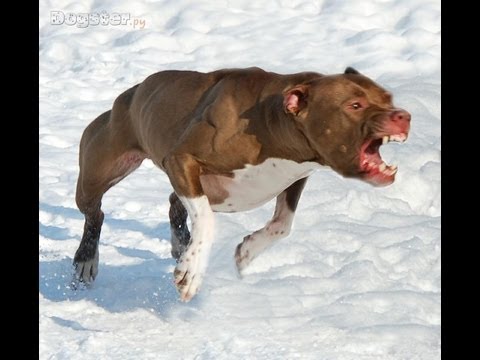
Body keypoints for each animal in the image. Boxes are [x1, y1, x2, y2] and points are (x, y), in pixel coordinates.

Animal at [73, 67, 410, 300]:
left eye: (388, 98)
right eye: (355, 105)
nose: (403, 116)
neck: (272, 121)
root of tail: (130, 93)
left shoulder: (294, 177)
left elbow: (282, 224)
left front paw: (246, 251)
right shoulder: (182, 159)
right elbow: (207, 220)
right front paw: (192, 271)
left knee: (172, 204)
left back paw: (181, 244)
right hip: (100, 169)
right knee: (95, 213)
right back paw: (86, 260)